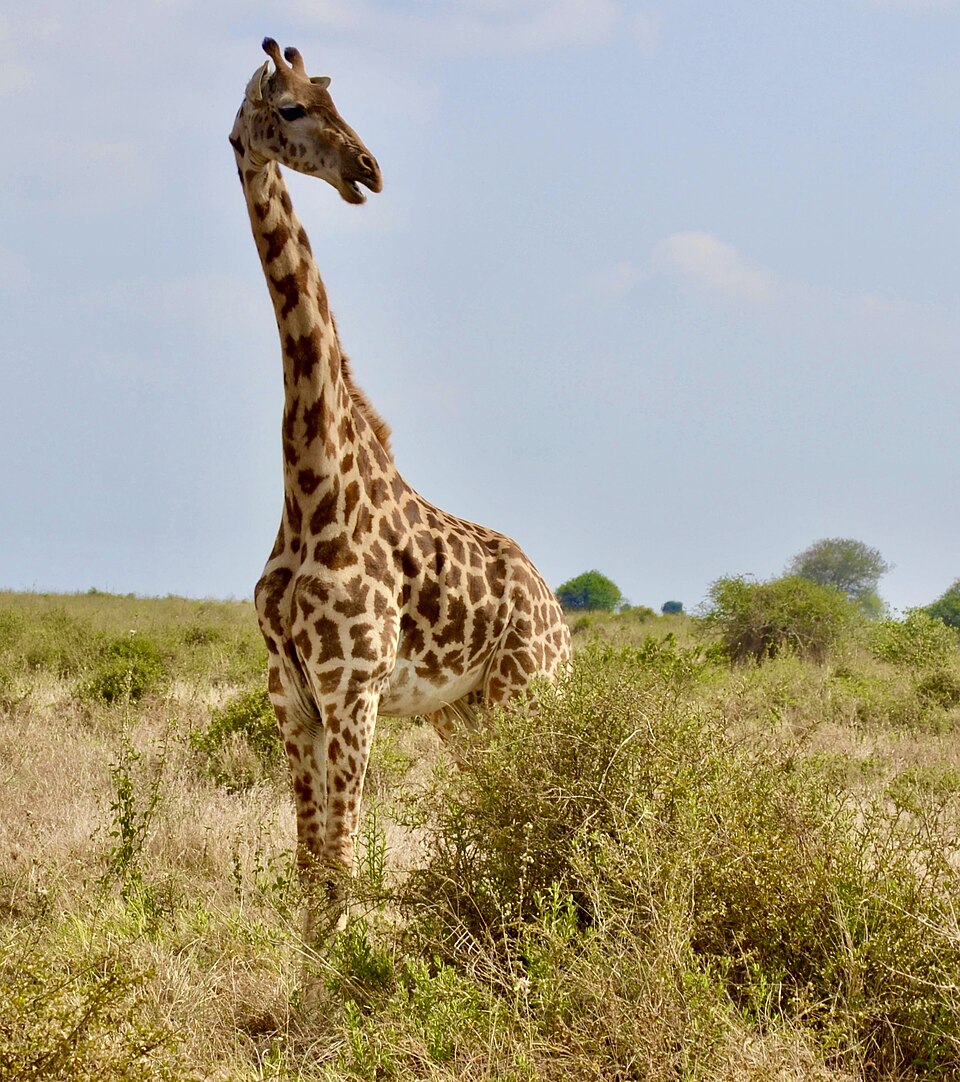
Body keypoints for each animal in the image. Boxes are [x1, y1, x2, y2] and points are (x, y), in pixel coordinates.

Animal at [230, 38, 571, 940]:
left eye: (335, 100)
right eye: (292, 108)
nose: (370, 170)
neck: (310, 489)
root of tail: (560, 612)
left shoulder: (353, 690)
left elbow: (341, 874)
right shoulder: (291, 696)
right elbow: (311, 873)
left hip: (527, 695)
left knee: (538, 809)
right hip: (465, 711)